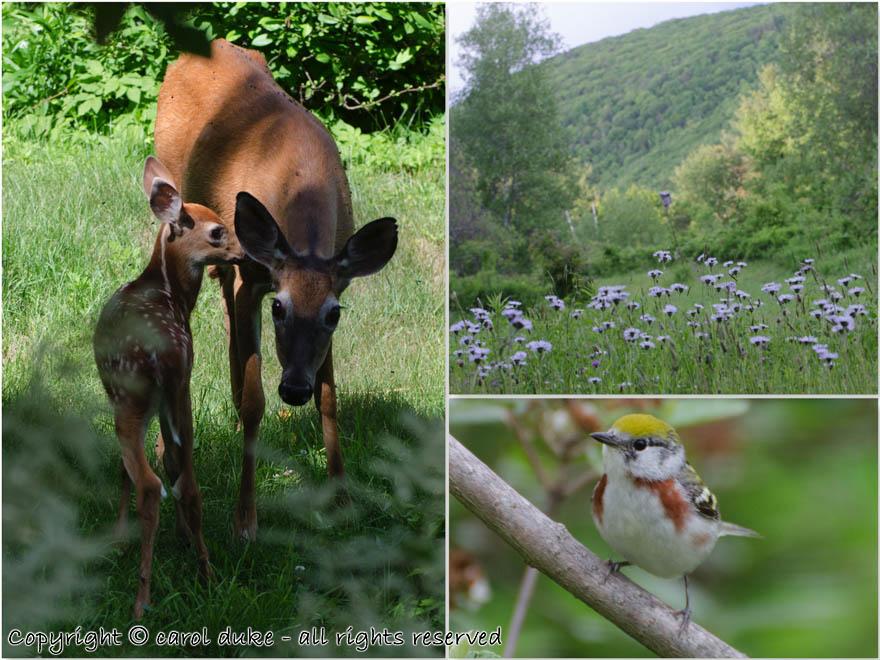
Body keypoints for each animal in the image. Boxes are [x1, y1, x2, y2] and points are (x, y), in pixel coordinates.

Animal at [93, 156, 243, 618]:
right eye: (217, 231)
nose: (245, 253)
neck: (166, 290)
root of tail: (160, 351)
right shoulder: (170, 397)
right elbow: (173, 464)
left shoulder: (124, 399)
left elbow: (124, 472)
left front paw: (118, 536)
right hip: (178, 391)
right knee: (186, 483)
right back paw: (207, 574)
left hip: (131, 397)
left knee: (148, 483)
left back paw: (141, 599)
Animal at [153, 40, 398, 541]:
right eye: (279, 311)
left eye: (334, 314)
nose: (294, 389)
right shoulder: (256, 280)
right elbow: (255, 402)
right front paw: (245, 520)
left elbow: (330, 397)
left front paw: (342, 498)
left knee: (225, 308)